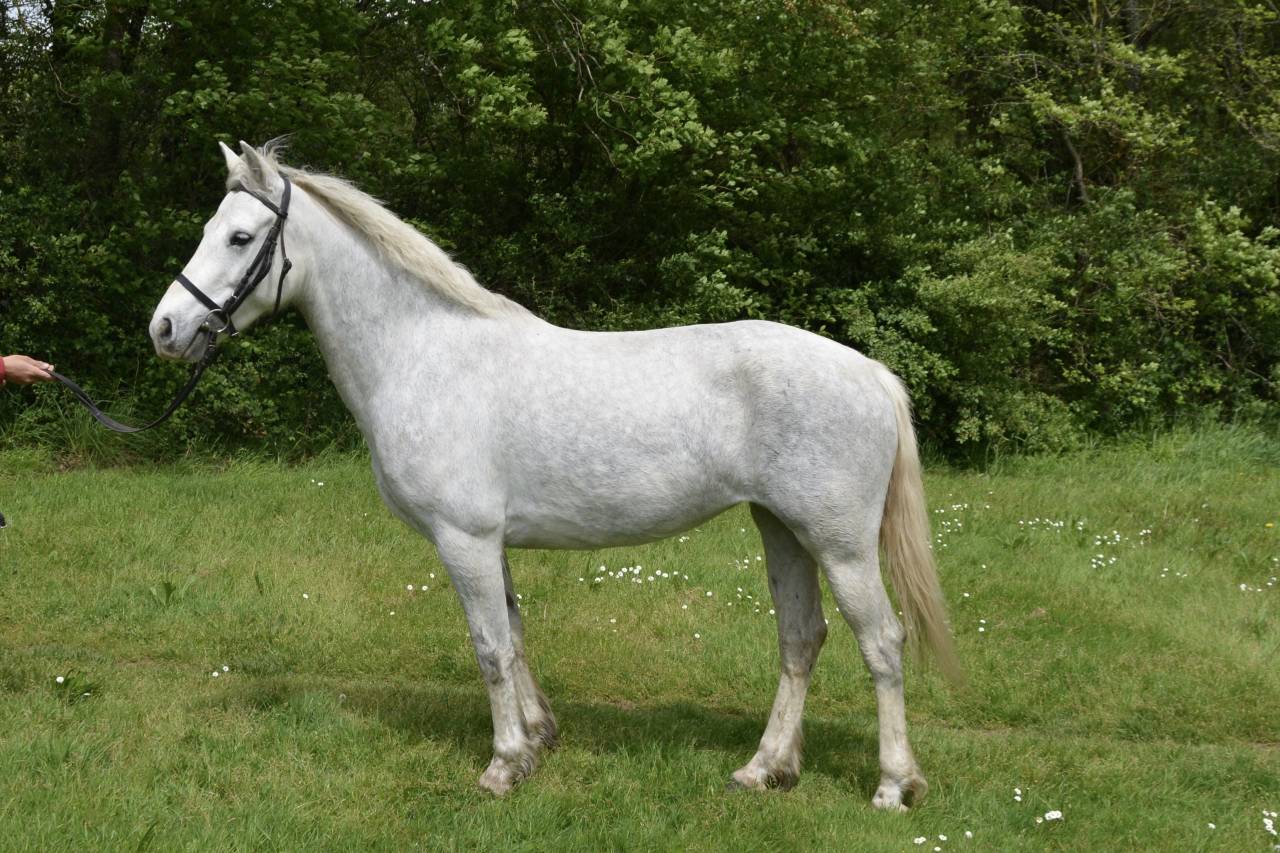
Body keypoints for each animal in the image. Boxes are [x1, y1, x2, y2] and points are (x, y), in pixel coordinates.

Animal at [148, 141, 959, 809]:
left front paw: (504, 764)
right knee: (800, 639)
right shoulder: (490, 541)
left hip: (840, 544)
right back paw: (765, 770)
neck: (423, 353)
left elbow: (488, 646)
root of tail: (870, 372)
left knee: (881, 642)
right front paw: (538, 741)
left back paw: (894, 784)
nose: (165, 330)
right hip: (782, 529)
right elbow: (513, 631)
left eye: (240, 237)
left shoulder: (465, 538)